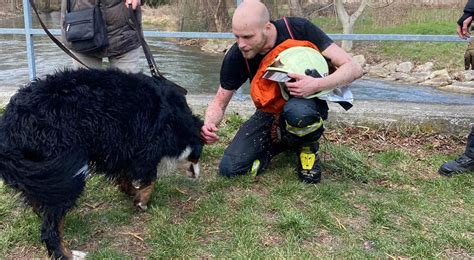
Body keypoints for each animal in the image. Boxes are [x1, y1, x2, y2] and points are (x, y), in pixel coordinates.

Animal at [0, 68, 202, 258]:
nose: (198, 174)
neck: (177, 119)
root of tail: (9, 127)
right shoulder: (147, 147)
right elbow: (149, 179)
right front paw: (142, 200)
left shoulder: (123, 148)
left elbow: (125, 176)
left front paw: (131, 192)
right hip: (65, 170)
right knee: (50, 228)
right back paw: (68, 254)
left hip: (44, 172)